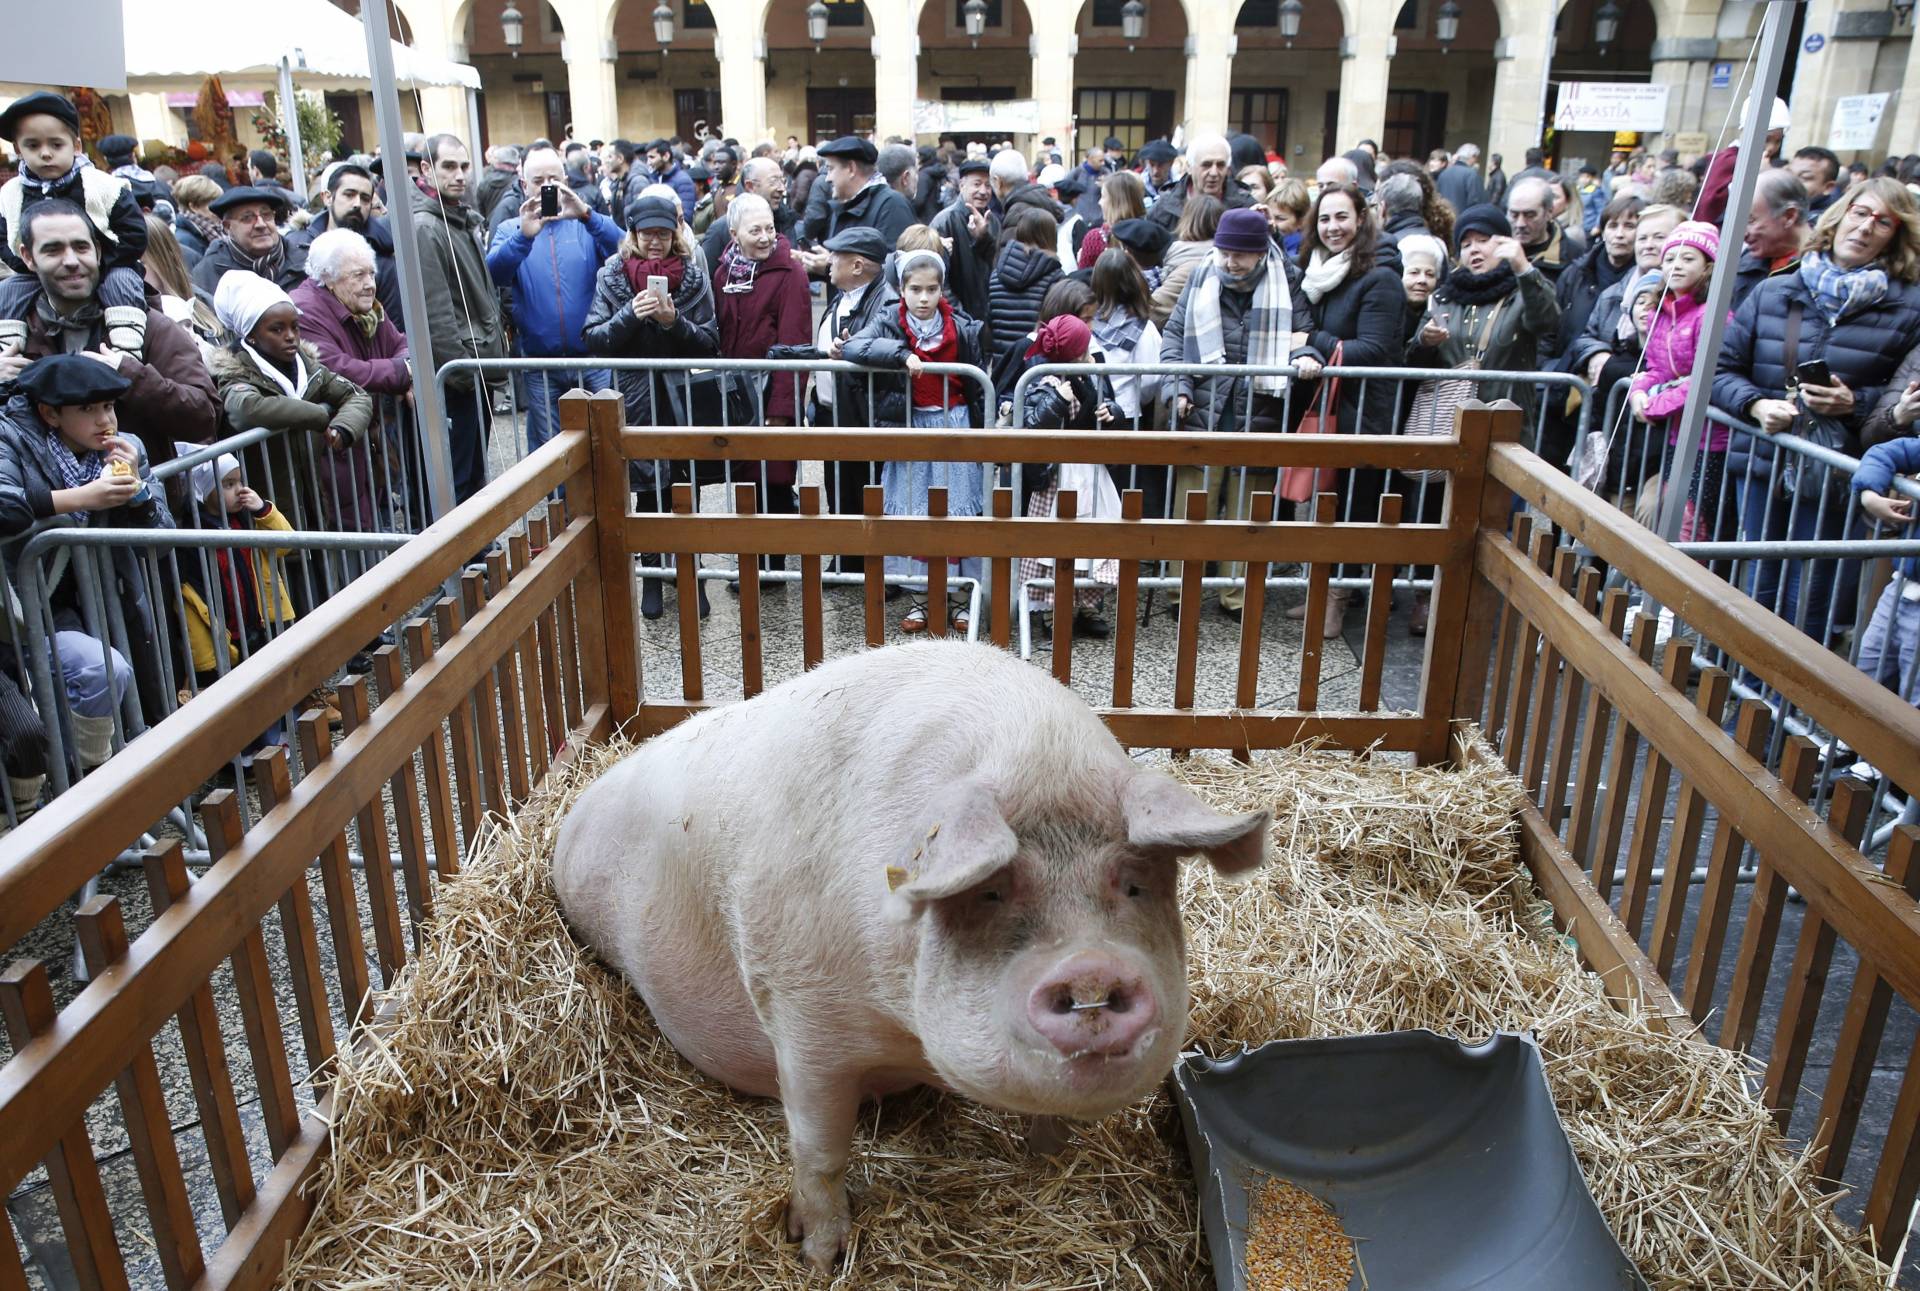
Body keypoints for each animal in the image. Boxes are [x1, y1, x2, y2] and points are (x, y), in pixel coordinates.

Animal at [552, 641, 1274, 1267]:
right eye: (991, 890)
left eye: (1133, 883)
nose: (1091, 967)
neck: (903, 1032)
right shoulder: (800, 1011)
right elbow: (819, 1148)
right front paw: (820, 1256)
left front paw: (1045, 1163)